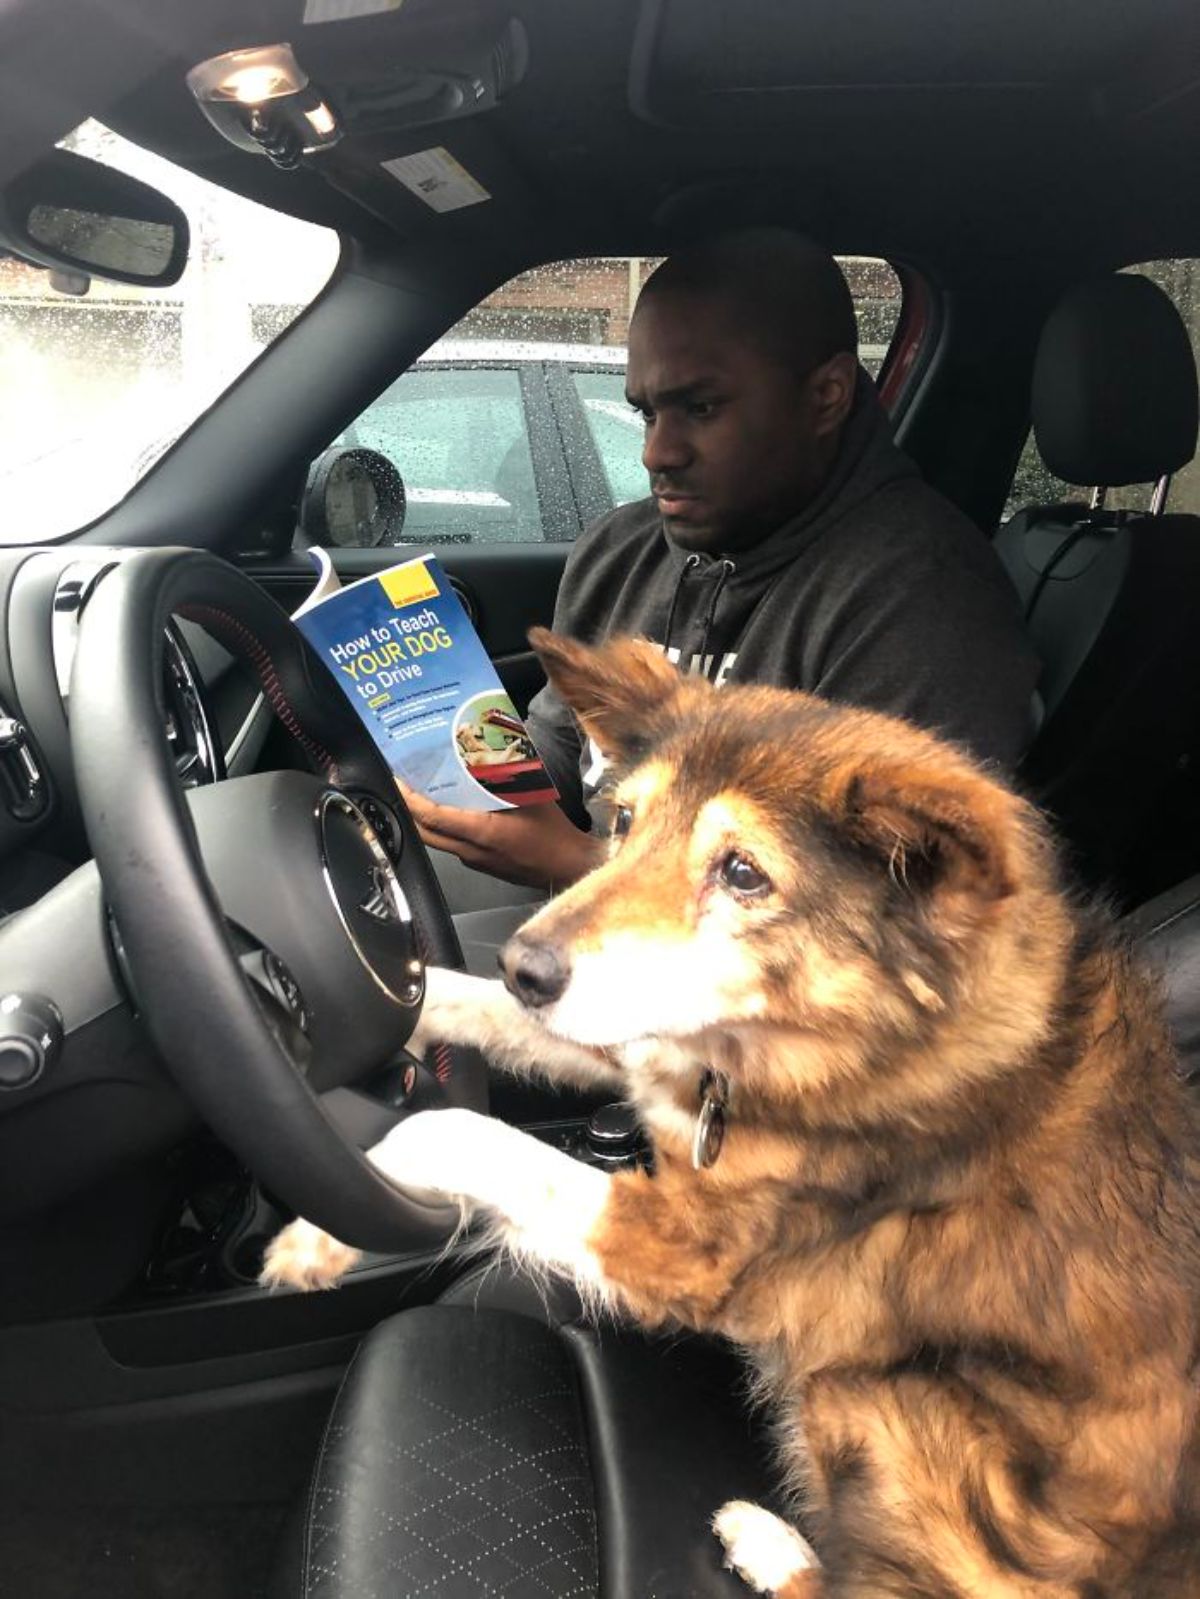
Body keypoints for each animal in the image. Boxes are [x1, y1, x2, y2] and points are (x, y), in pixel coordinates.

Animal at [262, 630, 1200, 1592]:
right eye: (624, 821)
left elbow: (454, 1130)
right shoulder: (647, 1040)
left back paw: (771, 1543)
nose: (523, 964)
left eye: (743, 872)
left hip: (882, 1397)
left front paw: (312, 1232)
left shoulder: (689, 1248)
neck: (838, 1036)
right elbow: (456, 1006)